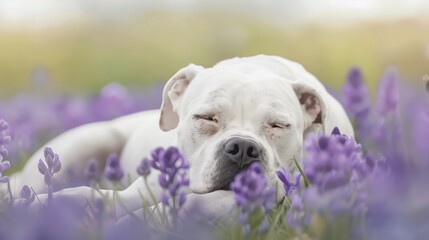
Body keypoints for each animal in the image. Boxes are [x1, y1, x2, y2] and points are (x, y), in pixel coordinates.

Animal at [6, 55, 352, 220]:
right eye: (206, 118)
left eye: (279, 126)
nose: (243, 148)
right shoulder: (142, 187)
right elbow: (95, 196)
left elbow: (201, 204)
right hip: (83, 143)